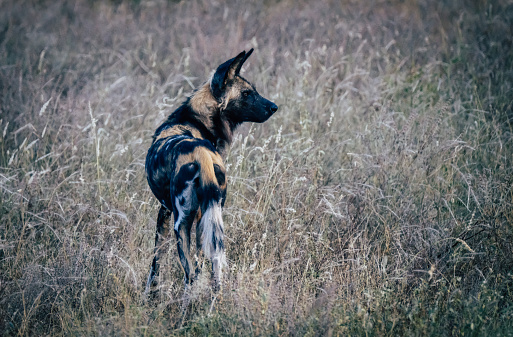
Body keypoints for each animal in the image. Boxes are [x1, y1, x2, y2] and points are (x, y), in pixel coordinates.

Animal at [142, 48, 278, 292]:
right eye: (247, 93)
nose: (274, 107)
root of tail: (201, 153)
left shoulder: (165, 212)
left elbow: (155, 264)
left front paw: (150, 295)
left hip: (181, 224)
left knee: (190, 275)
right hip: (212, 220)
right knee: (213, 271)